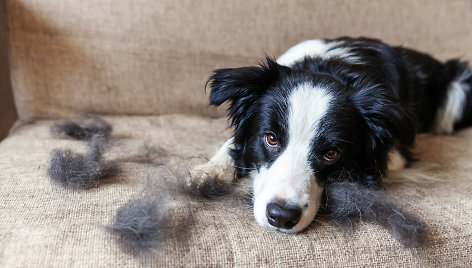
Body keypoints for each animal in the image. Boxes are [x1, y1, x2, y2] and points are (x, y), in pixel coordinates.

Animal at [188, 36, 472, 233]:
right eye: (271, 139)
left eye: (331, 154)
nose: (281, 217)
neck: (329, 68)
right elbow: (233, 144)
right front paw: (210, 171)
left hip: (458, 87)